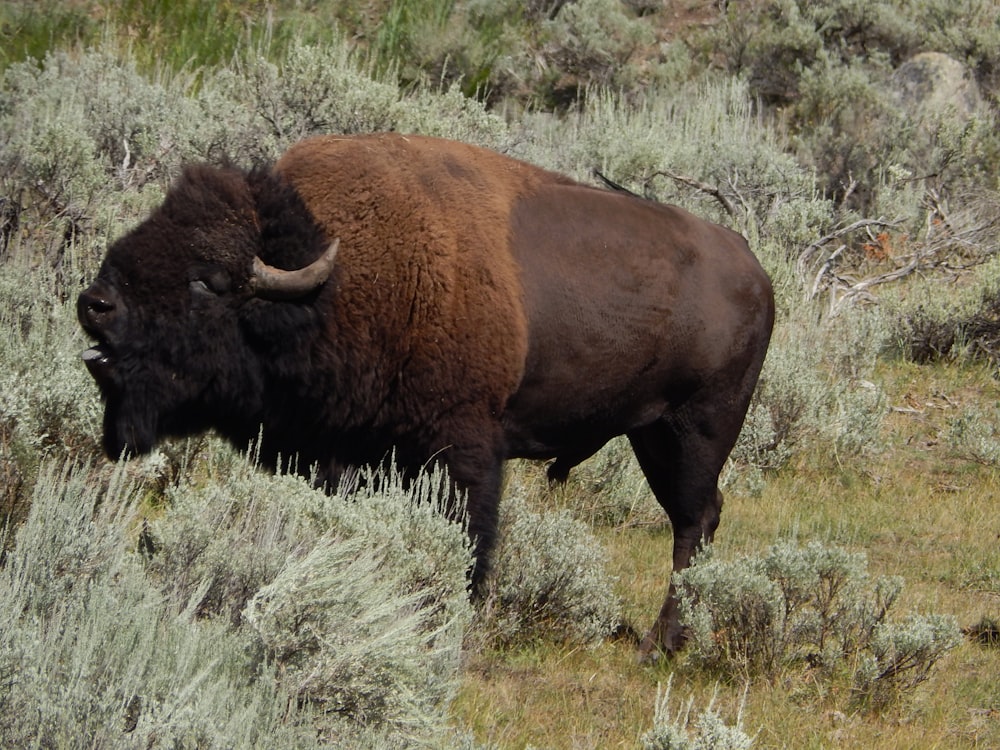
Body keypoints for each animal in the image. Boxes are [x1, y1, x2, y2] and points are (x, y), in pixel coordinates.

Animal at [82, 132, 776, 660]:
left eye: (207, 281)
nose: (96, 305)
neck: (334, 280)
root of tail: (752, 266)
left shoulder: (462, 448)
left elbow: (469, 535)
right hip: (651, 434)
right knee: (697, 519)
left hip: (693, 431)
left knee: (694, 521)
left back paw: (657, 645)